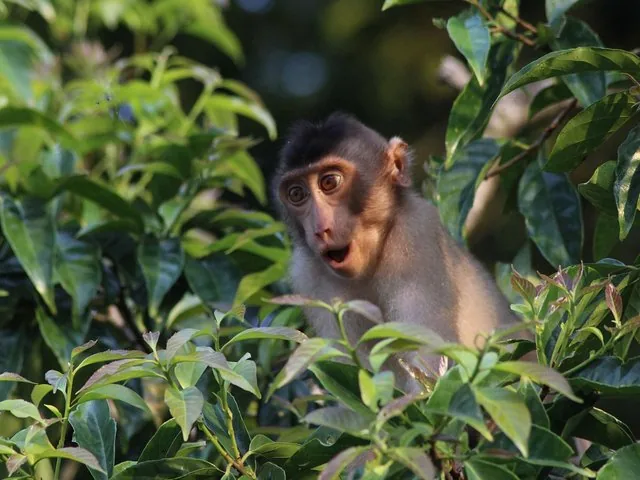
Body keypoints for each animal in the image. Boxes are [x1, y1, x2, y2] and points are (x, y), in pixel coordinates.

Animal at [272, 113, 524, 392]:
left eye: (329, 182)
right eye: (297, 194)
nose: (319, 229)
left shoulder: (417, 239)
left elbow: (431, 368)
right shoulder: (308, 276)